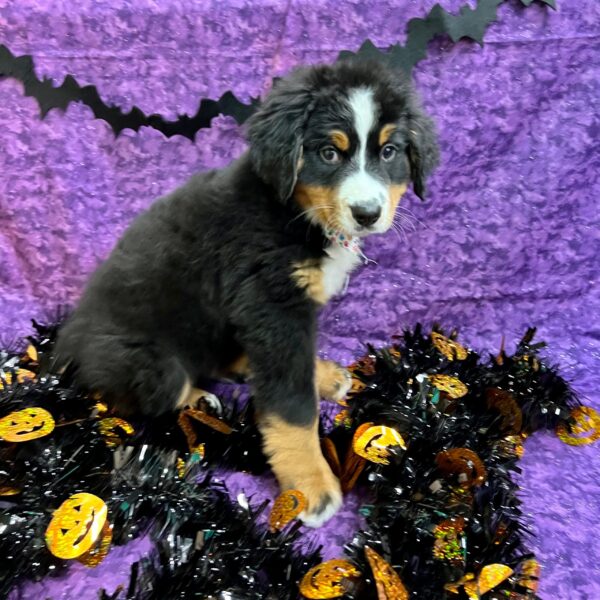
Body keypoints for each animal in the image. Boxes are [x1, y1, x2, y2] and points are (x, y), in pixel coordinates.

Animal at [56, 61, 438, 528]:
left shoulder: (277, 314)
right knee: (148, 393)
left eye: (389, 152)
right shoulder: (272, 305)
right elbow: (292, 406)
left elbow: (296, 367)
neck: (296, 212)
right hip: (149, 363)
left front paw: (321, 376)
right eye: (329, 154)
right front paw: (310, 487)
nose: (367, 213)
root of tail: (65, 347)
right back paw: (201, 402)